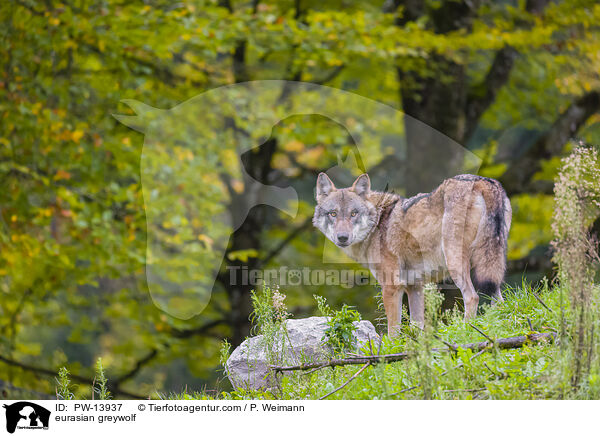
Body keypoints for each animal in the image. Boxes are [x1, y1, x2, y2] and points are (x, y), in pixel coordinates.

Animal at [312, 173, 512, 334]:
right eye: (333, 214)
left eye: (353, 213)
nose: (342, 237)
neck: (378, 223)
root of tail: (483, 181)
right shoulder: (414, 287)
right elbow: (418, 326)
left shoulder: (391, 287)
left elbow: (393, 330)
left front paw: (390, 353)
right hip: (488, 264)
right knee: (498, 299)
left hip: (457, 264)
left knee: (473, 297)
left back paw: (465, 330)